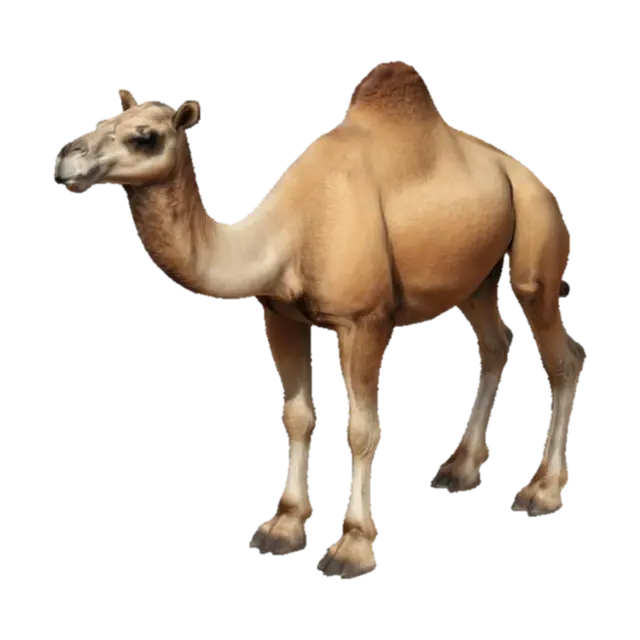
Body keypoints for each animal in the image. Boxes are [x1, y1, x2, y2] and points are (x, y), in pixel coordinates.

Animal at [53, 64, 585, 580]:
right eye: (103, 121)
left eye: (144, 136)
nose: (66, 160)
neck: (286, 230)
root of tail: (522, 171)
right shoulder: (280, 315)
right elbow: (297, 417)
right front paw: (282, 527)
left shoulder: (365, 322)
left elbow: (364, 429)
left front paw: (352, 547)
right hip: (476, 275)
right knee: (496, 345)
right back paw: (459, 470)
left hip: (536, 235)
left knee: (562, 353)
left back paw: (541, 490)